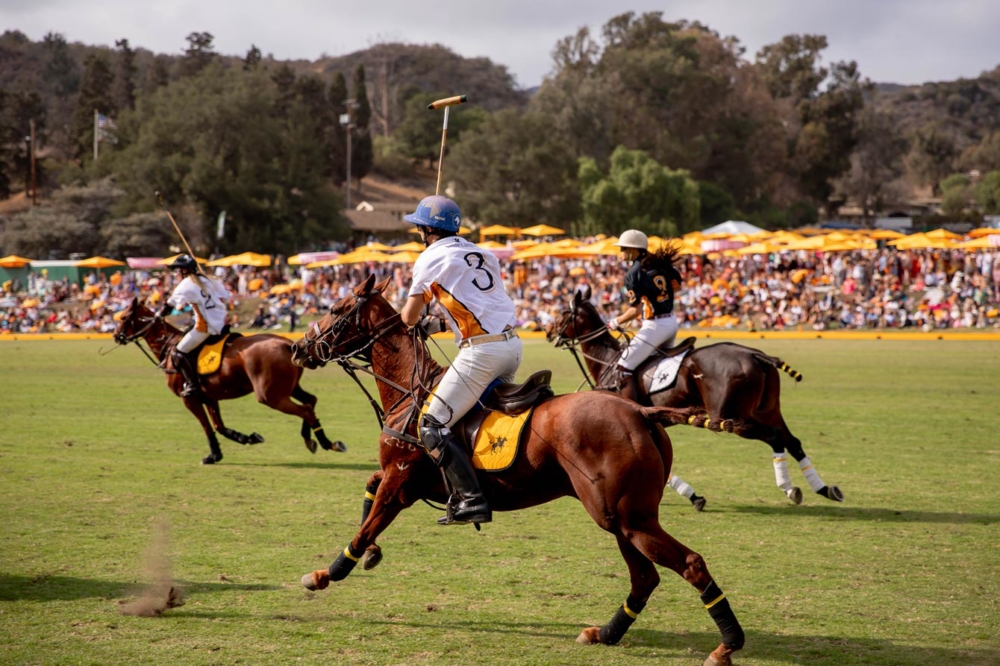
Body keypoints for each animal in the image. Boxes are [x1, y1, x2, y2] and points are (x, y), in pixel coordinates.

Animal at [113, 298, 346, 464]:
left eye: (123, 318)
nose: (116, 335)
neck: (169, 347)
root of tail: (287, 344)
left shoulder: (189, 399)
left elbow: (208, 427)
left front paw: (213, 456)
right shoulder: (209, 397)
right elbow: (219, 426)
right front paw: (249, 438)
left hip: (270, 395)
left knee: (305, 409)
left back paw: (322, 442)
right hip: (289, 387)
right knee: (310, 401)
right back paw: (319, 440)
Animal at [288, 272, 744, 660]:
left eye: (336, 308)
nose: (298, 347)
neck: (409, 389)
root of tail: (639, 412)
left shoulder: (400, 484)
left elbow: (365, 527)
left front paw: (326, 573)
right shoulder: (403, 480)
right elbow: (369, 492)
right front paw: (371, 554)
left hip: (629, 518)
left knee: (688, 564)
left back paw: (726, 645)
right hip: (620, 516)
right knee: (645, 577)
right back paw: (606, 633)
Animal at [548, 292, 844, 504]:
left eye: (562, 313)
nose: (549, 332)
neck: (607, 360)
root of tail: (757, 354)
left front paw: (693, 496)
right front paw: (692, 495)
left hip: (730, 415)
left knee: (774, 437)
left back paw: (789, 487)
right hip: (768, 409)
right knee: (791, 440)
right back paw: (824, 488)